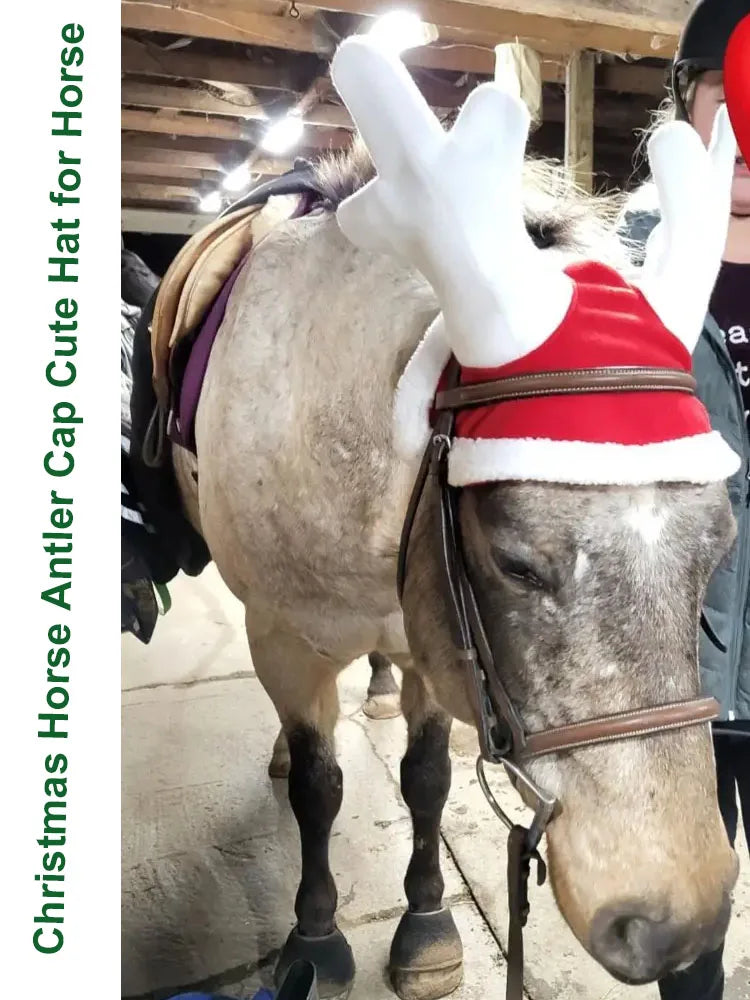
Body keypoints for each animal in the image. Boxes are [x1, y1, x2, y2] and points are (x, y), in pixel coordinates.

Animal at [166, 45, 740, 1000]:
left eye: (719, 549)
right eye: (515, 563)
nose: (679, 923)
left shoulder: (432, 636)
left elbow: (427, 779)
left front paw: (427, 924)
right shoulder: (282, 633)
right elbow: (319, 785)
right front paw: (315, 937)